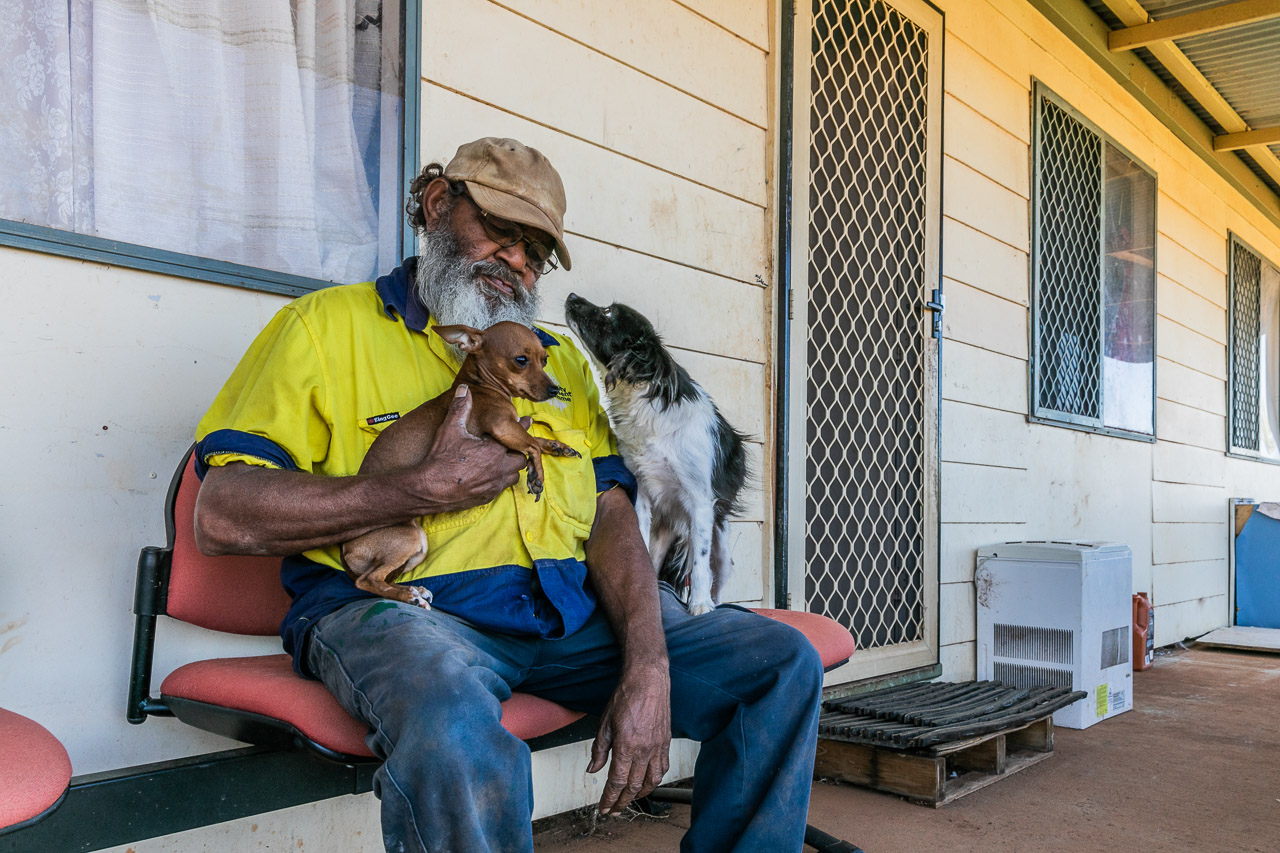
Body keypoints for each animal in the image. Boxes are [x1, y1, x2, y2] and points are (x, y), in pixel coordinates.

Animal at [340, 318, 581, 604]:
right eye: (521, 360)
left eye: (544, 360)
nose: (554, 389)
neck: (480, 384)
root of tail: (345, 553)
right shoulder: (501, 426)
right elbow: (531, 444)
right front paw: (536, 475)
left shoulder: (512, 429)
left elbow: (535, 438)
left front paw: (557, 446)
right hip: (408, 538)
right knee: (367, 581)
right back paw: (410, 597)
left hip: (418, 547)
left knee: (384, 578)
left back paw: (413, 590)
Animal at [563, 292, 747, 612]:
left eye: (608, 313)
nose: (572, 295)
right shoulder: (641, 492)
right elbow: (640, 544)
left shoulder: (700, 501)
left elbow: (700, 563)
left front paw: (699, 604)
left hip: (721, 546)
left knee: (718, 578)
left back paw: (712, 600)